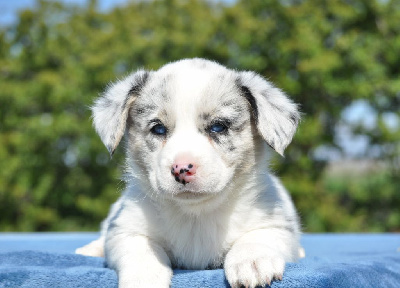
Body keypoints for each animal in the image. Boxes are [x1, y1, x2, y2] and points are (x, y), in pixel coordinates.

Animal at [76, 59, 302, 288]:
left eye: (218, 127)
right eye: (158, 129)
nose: (181, 168)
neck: (195, 215)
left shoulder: (276, 225)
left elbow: (257, 237)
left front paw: (252, 262)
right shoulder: (125, 229)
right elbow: (142, 250)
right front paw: (144, 277)